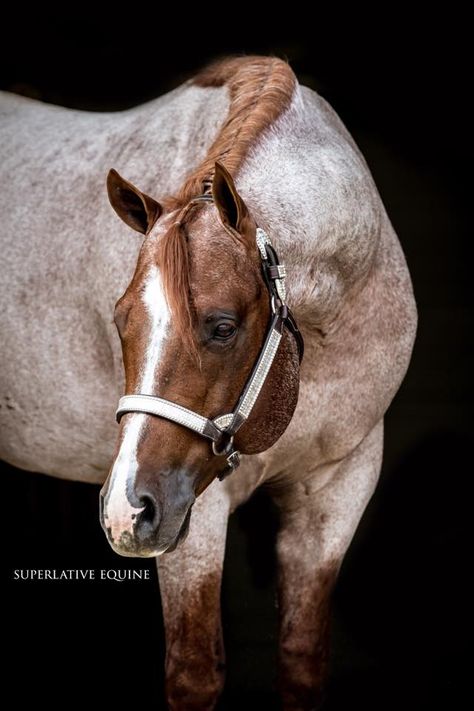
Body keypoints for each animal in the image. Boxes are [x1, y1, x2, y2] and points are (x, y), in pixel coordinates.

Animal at [0, 58, 414, 708]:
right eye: (120, 320)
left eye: (222, 327)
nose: (125, 511)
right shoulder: (195, 508)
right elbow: (194, 670)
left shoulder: (339, 482)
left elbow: (302, 656)